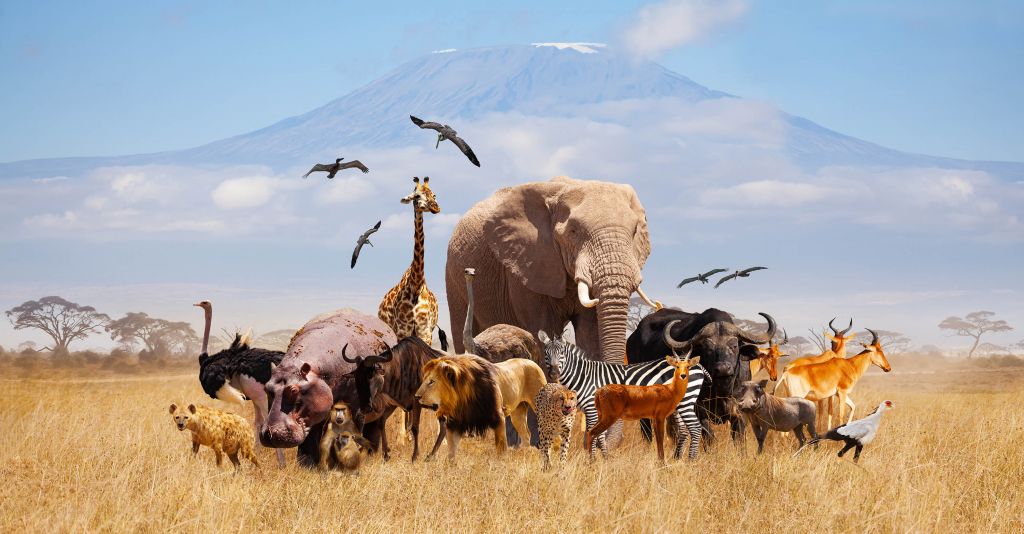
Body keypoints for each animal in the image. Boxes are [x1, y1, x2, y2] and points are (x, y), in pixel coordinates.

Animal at [376, 177, 440, 346]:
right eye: (417, 196)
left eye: (434, 194)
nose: (435, 207)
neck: (416, 285)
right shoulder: (402, 331)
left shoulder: (425, 333)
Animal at [446, 176, 655, 366]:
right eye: (573, 231)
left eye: (634, 231)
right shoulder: (527, 263)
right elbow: (544, 328)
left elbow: (590, 331)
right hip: (452, 277)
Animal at [540, 323, 708, 457]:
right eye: (546, 353)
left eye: (562, 353)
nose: (554, 373)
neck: (585, 375)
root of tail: (695, 364)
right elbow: (600, 435)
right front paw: (604, 459)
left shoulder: (592, 408)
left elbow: (593, 434)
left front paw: (592, 461)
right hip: (678, 404)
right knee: (684, 431)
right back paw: (676, 460)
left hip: (686, 401)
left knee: (695, 428)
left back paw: (691, 460)